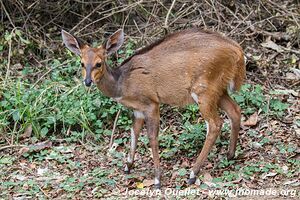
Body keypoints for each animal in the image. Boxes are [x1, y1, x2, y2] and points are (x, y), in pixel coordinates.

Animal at [61, 28, 246, 189]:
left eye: (99, 63)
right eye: (82, 63)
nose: (87, 82)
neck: (123, 83)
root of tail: (238, 51)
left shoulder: (152, 104)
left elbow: (152, 137)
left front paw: (157, 179)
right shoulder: (137, 110)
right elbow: (134, 132)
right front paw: (128, 166)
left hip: (203, 91)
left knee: (215, 124)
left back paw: (193, 174)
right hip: (219, 91)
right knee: (235, 111)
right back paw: (230, 155)